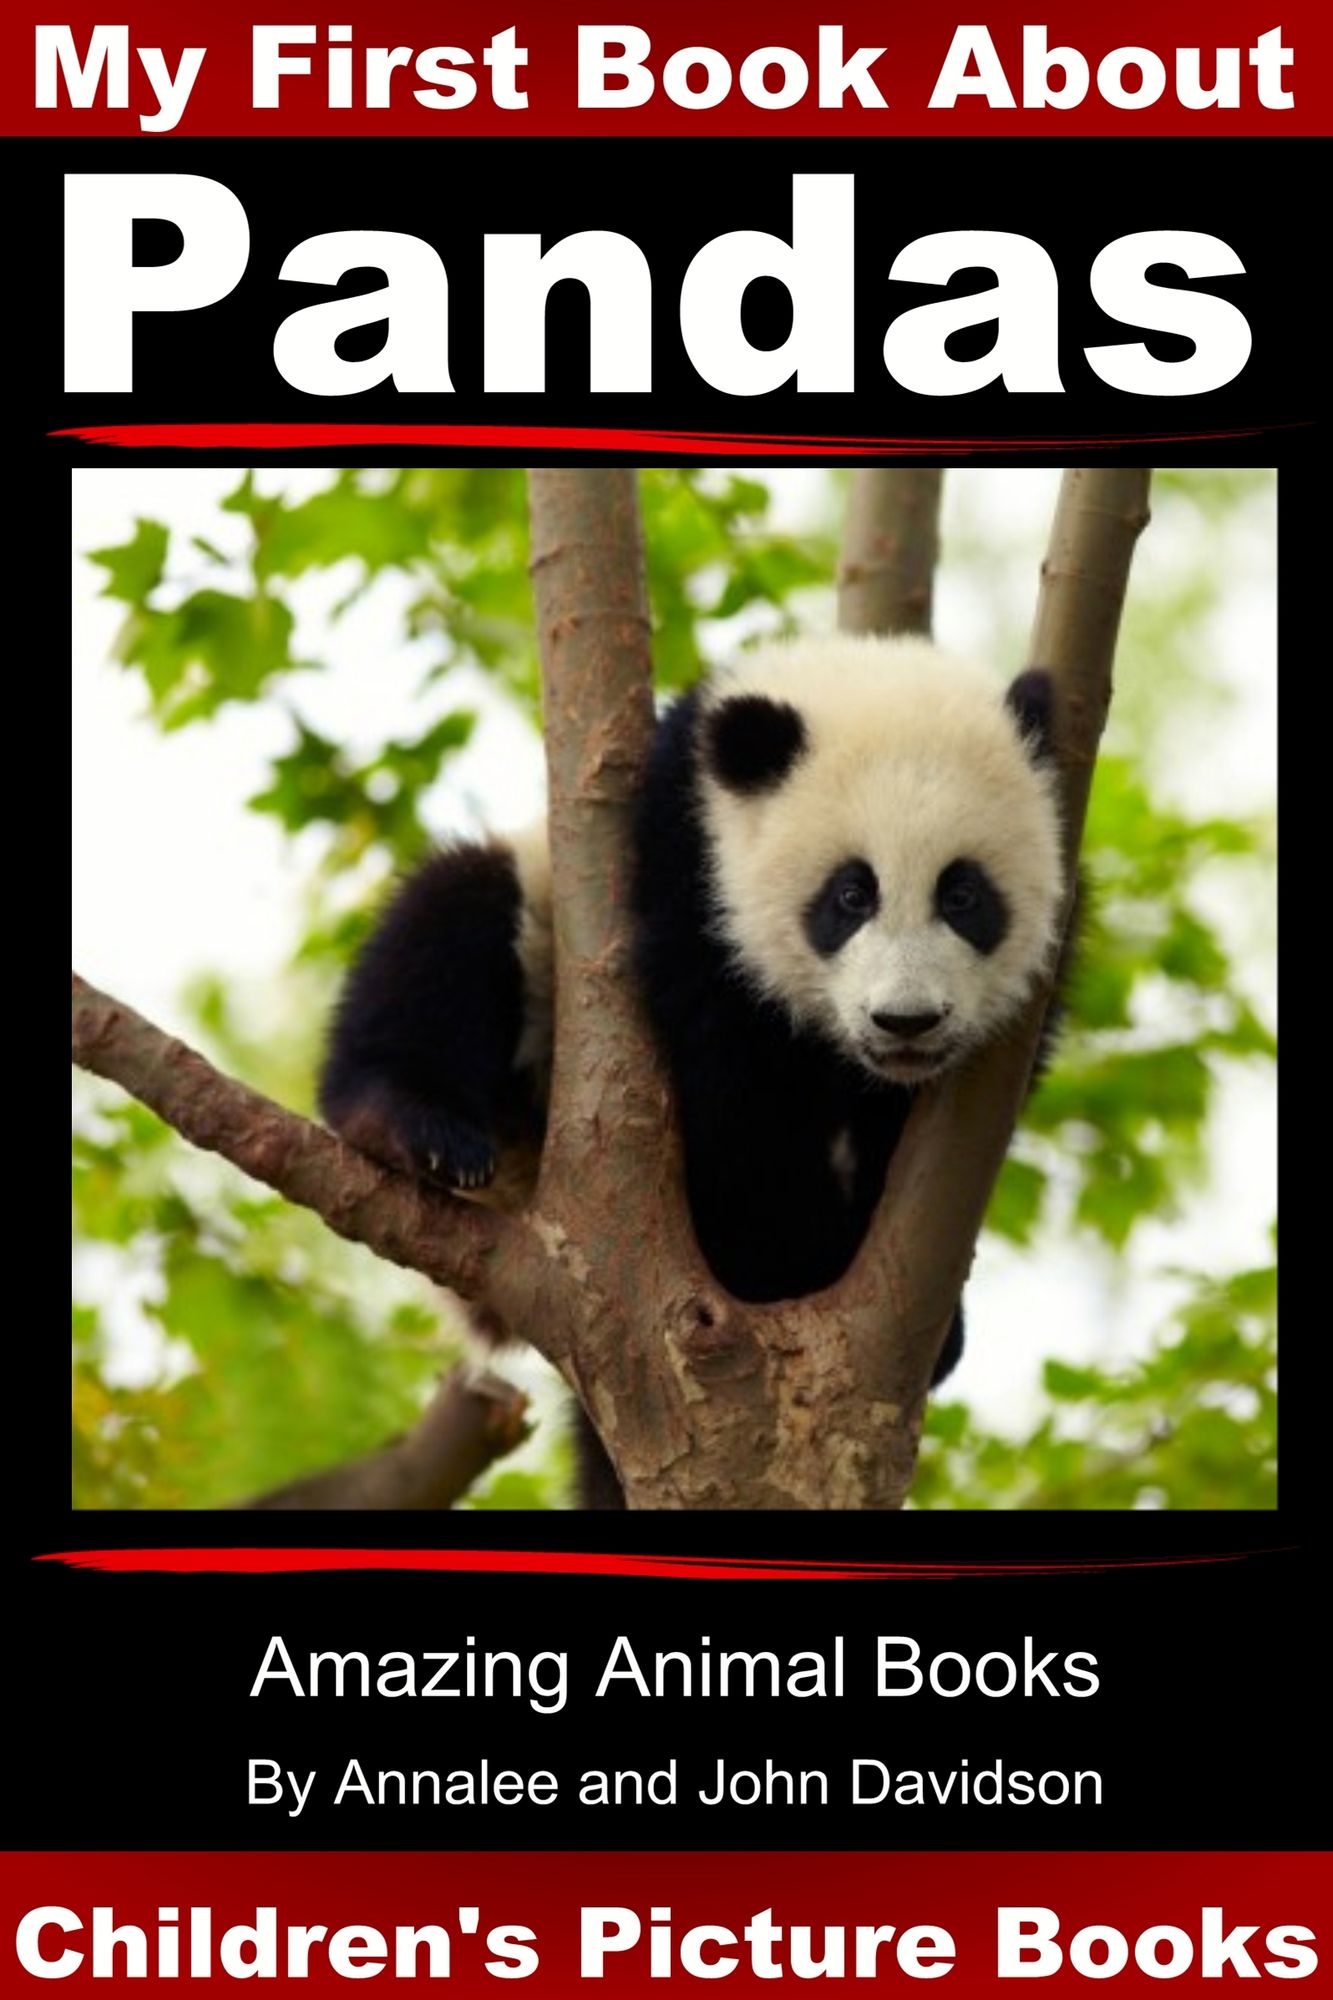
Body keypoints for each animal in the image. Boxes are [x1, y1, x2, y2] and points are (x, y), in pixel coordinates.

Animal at [320, 634, 1067, 1505]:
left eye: (962, 895)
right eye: (849, 895)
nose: (905, 1021)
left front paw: (921, 1314)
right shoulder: (684, 869)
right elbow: (732, 1102)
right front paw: (778, 1267)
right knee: (448, 923)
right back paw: (410, 1125)